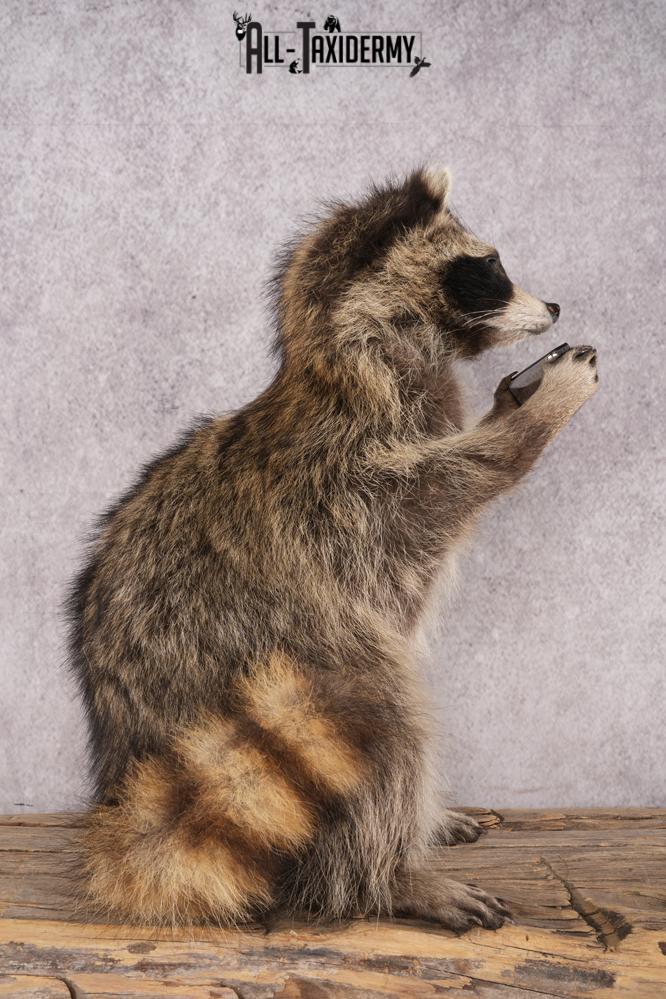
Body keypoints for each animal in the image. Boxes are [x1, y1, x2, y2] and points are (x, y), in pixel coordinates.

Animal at [68, 168, 598, 930]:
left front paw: (514, 399)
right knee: (388, 722)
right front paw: (535, 418)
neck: (359, 356)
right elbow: (443, 491)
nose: (553, 306)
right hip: (295, 665)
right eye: (487, 269)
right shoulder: (340, 486)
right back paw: (388, 873)